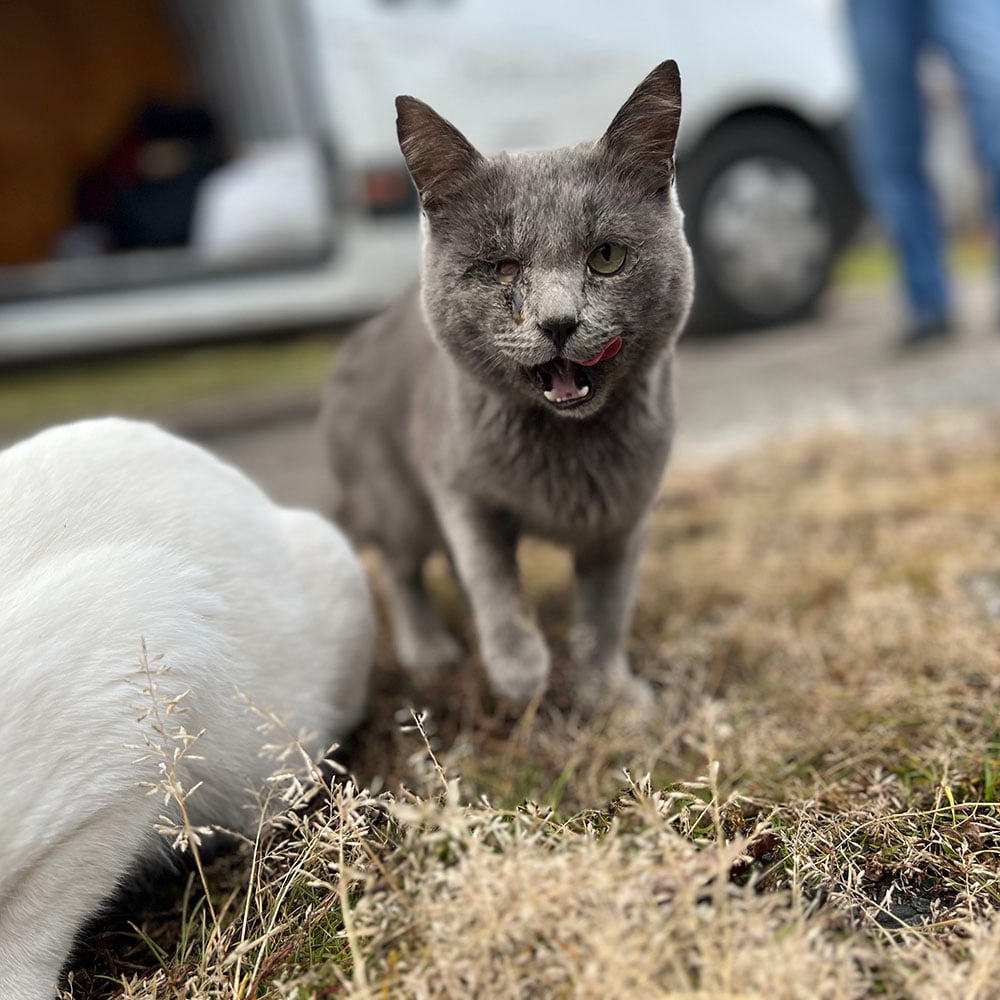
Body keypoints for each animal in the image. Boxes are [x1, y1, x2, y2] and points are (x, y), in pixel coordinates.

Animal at [322, 58, 696, 708]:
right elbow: (491, 577)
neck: (569, 450)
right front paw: (521, 671)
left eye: (606, 257)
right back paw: (429, 651)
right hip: (392, 494)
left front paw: (611, 694)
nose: (559, 321)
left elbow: (607, 609)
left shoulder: (624, 516)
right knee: (399, 567)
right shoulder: (459, 487)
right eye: (502, 269)